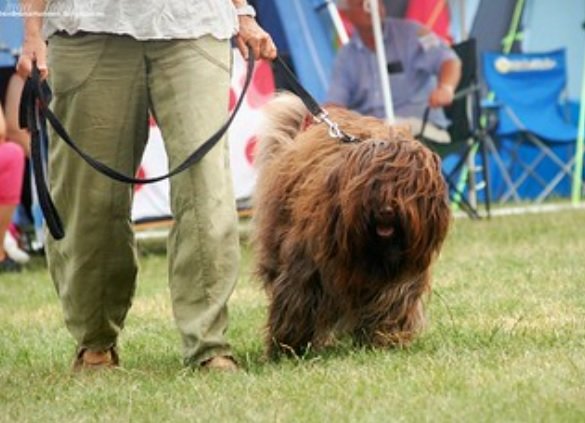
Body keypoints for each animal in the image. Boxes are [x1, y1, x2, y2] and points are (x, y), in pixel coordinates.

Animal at [253, 93, 450, 358]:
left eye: (405, 186)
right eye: (373, 184)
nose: (386, 210)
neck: (373, 251)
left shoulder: (400, 276)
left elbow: (392, 302)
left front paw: (385, 339)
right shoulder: (306, 265)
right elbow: (298, 299)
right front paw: (288, 347)